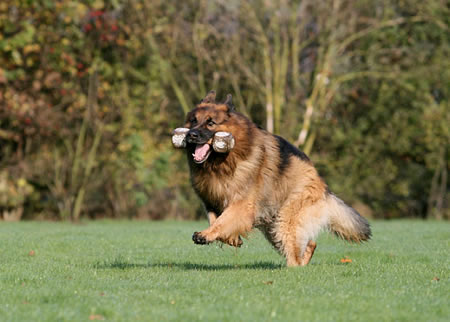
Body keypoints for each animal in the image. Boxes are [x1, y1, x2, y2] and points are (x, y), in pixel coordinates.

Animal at [182, 90, 370, 266]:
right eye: (193, 120)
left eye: (210, 123)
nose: (191, 135)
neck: (223, 161)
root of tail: (322, 182)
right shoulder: (211, 202)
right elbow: (216, 220)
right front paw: (229, 238)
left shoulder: (242, 205)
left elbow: (223, 222)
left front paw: (207, 235)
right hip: (272, 226)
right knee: (310, 244)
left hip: (285, 222)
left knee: (295, 252)